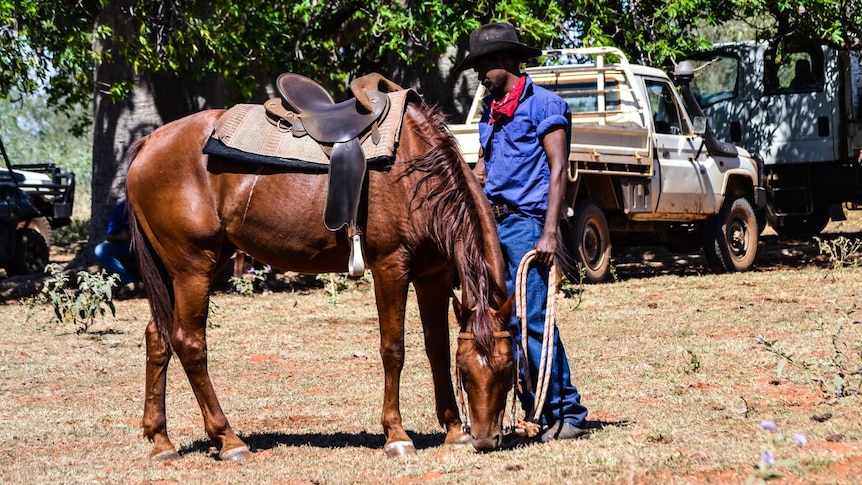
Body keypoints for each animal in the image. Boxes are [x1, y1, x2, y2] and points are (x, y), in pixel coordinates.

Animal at [125, 99, 516, 462]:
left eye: (509, 368)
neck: (414, 171)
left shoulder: (433, 275)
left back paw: (161, 441)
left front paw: (454, 428)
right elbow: (394, 350)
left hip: (184, 269)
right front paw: (396, 435)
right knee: (190, 344)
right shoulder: (391, 268)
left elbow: (436, 347)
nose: (486, 440)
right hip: (193, 270)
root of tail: (148, 144)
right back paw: (228, 439)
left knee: (159, 337)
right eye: (466, 373)